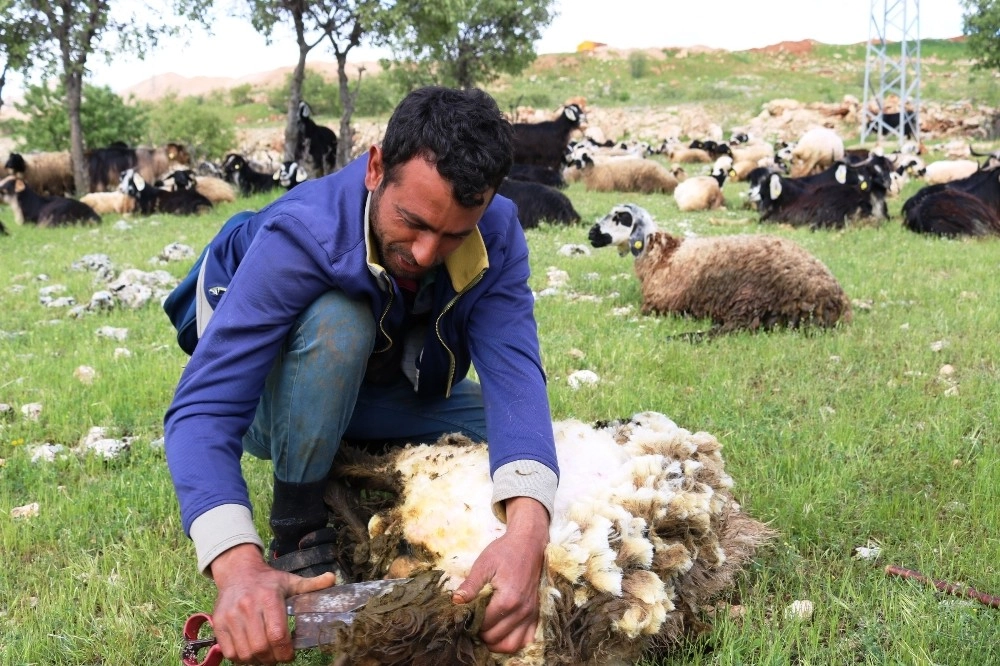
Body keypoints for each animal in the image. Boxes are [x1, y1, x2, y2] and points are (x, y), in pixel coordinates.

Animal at [588, 202, 856, 332]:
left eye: (620, 217)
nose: (591, 233)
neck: (663, 253)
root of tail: (838, 303)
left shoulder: (656, 304)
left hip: (751, 297)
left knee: (738, 328)